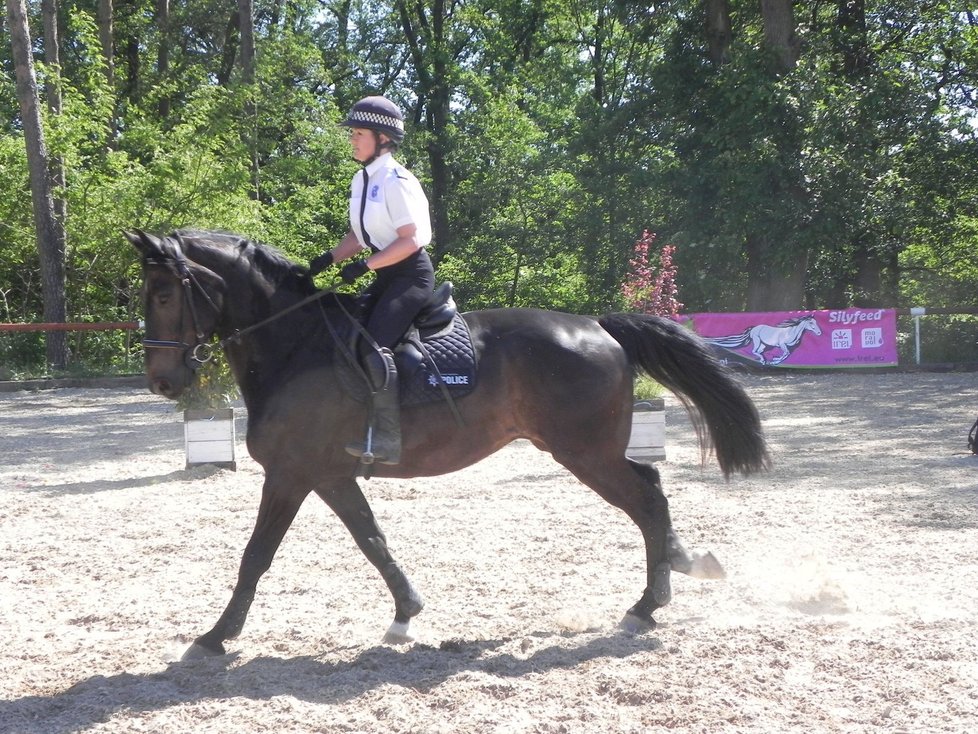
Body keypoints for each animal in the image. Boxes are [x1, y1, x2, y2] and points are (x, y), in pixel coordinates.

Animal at [126, 230, 768, 660]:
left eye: (164, 294)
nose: (162, 382)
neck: (294, 345)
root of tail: (600, 327)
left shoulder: (290, 473)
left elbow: (256, 556)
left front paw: (215, 637)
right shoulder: (330, 475)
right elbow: (373, 541)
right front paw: (405, 614)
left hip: (585, 454)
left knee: (649, 498)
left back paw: (648, 603)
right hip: (587, 452)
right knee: (651, 495)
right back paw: (682, 567)